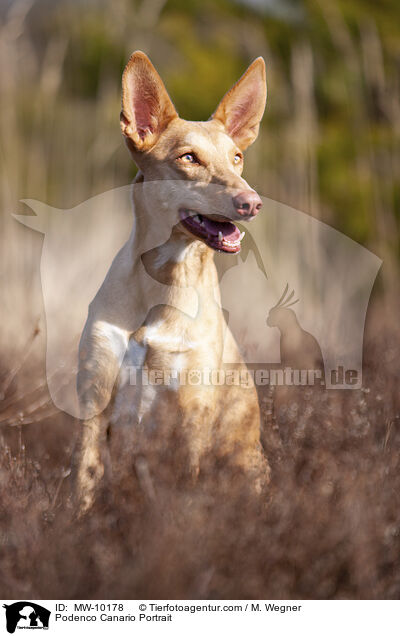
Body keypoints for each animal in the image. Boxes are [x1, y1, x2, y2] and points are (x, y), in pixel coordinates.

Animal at [74, 52, 268, 516]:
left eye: (237, 157)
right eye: (189, 158)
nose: (251, 202)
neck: (163, 279)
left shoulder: (192, 415)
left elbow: (185, 497)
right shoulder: (94, 401)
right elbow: (83, 486)